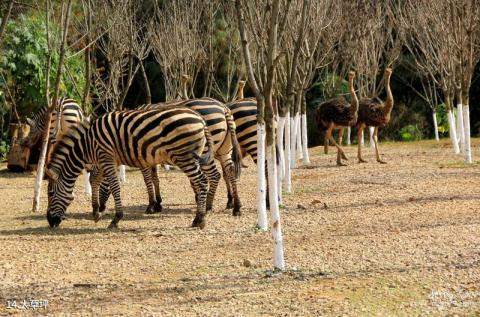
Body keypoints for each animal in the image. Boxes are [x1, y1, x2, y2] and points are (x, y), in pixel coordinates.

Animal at [45, 107, 218, 228]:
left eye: (50, 193)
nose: (50, 221)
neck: (87, 144)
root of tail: (201, 119)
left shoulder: (106, 157)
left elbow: (114, 187)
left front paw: (116, 218)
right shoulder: (103, 160)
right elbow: (94, 180)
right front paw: (96, 211)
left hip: (184, 156)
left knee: (202, 181)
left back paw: (200, 219)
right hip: (195, 155)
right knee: (201, 181)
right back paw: (200, 215)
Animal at [94, 96, 244, 215]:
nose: (100, 208)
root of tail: (223, 107)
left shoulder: (141, 157)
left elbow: (148, 180)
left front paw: (151, 205)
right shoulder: (150, 156)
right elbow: (155, 179)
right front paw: (158, 203)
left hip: (206, 150)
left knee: (216, 175)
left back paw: (208, 206)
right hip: (225, 150)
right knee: (230, 172)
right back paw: (236, 206)